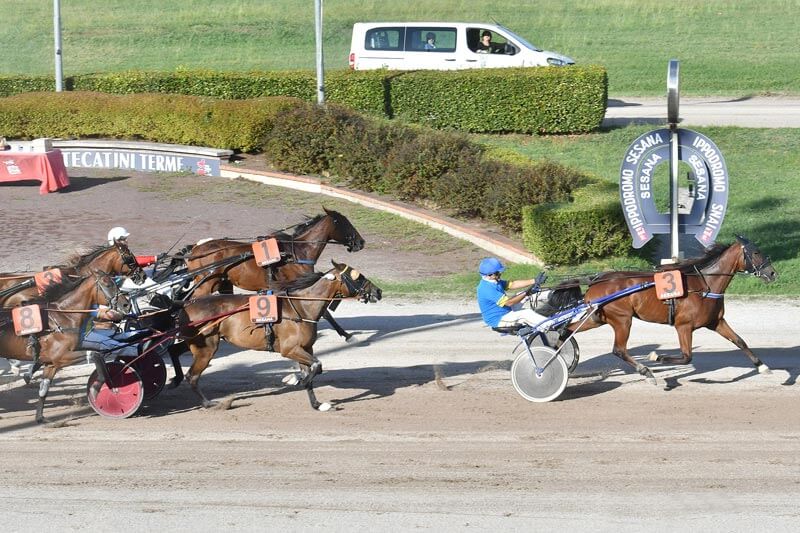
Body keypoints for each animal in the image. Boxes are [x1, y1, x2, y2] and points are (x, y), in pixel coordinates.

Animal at [0, 270, 130, 424]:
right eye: (108, 284)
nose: (126, 304)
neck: (63, 317)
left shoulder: (51, 363)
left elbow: (44, 388)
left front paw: (40, 418)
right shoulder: (61, 357)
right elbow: (95, 354)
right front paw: (97, 388)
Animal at [171, 262, 382, 412]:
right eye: (357, 277)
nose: (378, 291)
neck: (302, 308)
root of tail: (187, 303)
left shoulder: (305, 348)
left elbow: (314, 370)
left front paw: (315, 403)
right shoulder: (290, 349)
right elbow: (316, 366)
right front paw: (296, 380)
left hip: (196, 341)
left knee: (175, 351)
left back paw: (176, 378)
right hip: (206, 347)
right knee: (193, 376)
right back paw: (210, 403)